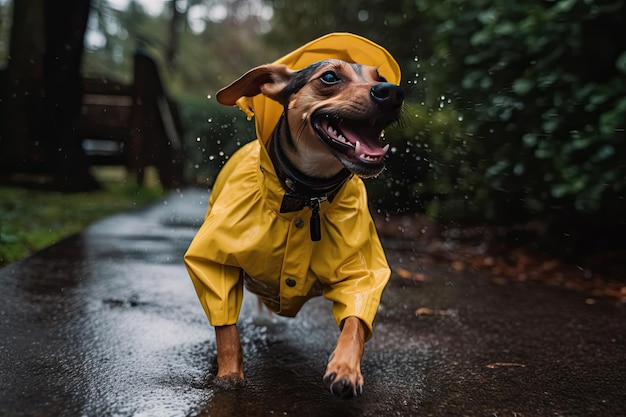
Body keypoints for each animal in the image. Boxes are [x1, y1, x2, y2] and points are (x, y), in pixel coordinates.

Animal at [183, 32, 402, 396]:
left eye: (380, 77)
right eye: (330, 77)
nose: (392, 92)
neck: (306, 196)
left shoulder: (360, 272)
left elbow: (356, 319)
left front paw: (345, 368)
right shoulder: (214, 261)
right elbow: (226, 326)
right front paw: (229, 373)